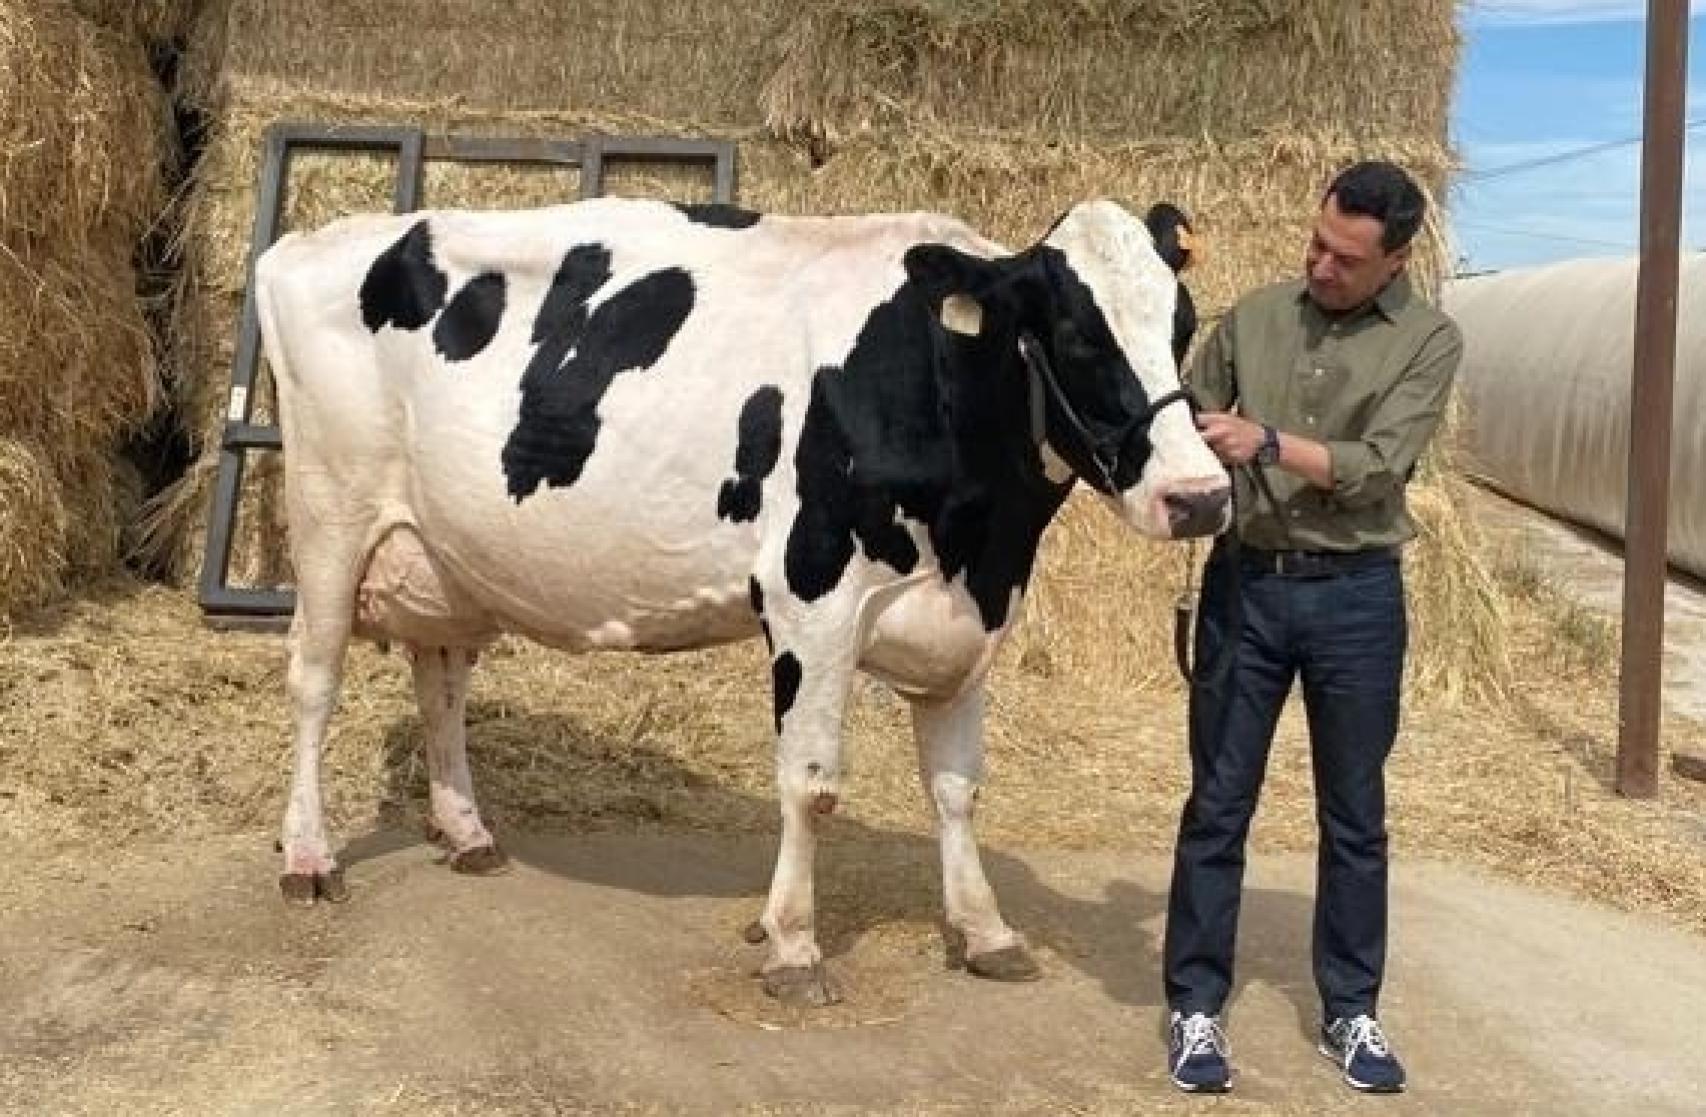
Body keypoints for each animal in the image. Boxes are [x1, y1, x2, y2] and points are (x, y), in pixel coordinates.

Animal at [256, 195, 1231, 1005]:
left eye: (1181, 324)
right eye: (1077, 334)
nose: (1201, 496)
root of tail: (306, 243)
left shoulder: (966, 619)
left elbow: (957, 788)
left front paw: (986, 929)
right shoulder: (811, 599)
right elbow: (811, 785)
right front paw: (793, 944)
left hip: (448, 551)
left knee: (442, 683)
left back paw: (466, 833)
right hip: (331, 515)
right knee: (313, 682)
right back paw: (308, 856)